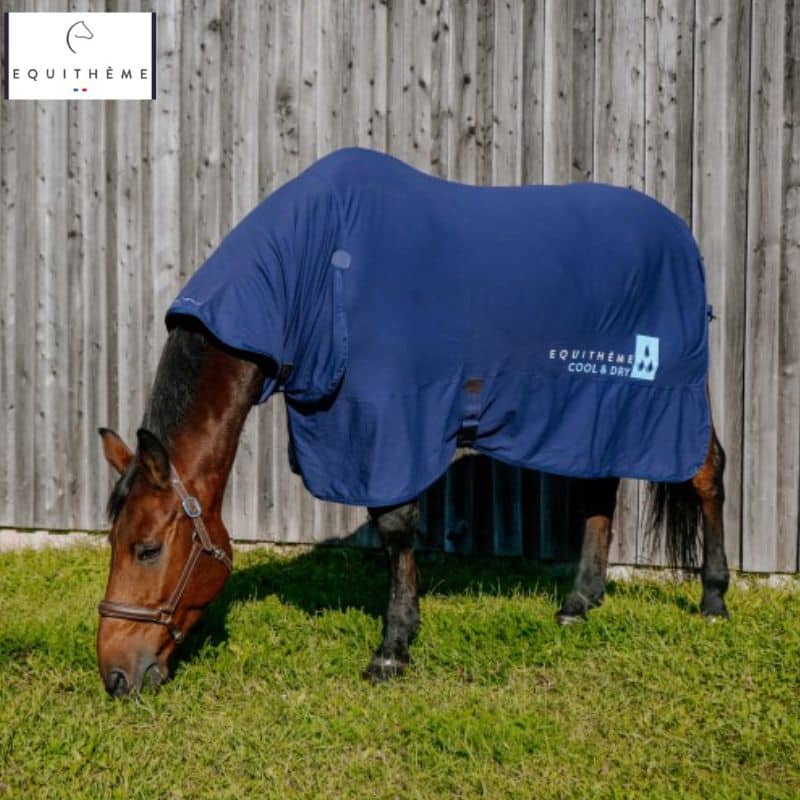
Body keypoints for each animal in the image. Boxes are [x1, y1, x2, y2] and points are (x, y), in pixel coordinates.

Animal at [97, 148, 729, 697]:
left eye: (147, 549)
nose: (116, 675)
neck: (313, 269)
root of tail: (685, 240)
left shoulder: (388, 423)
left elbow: (397, 527)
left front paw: (392, 649)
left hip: (671, 397)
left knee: (707, 473)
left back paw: (713, 601)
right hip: (595, 406)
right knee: (600, 486)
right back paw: (578, 604)